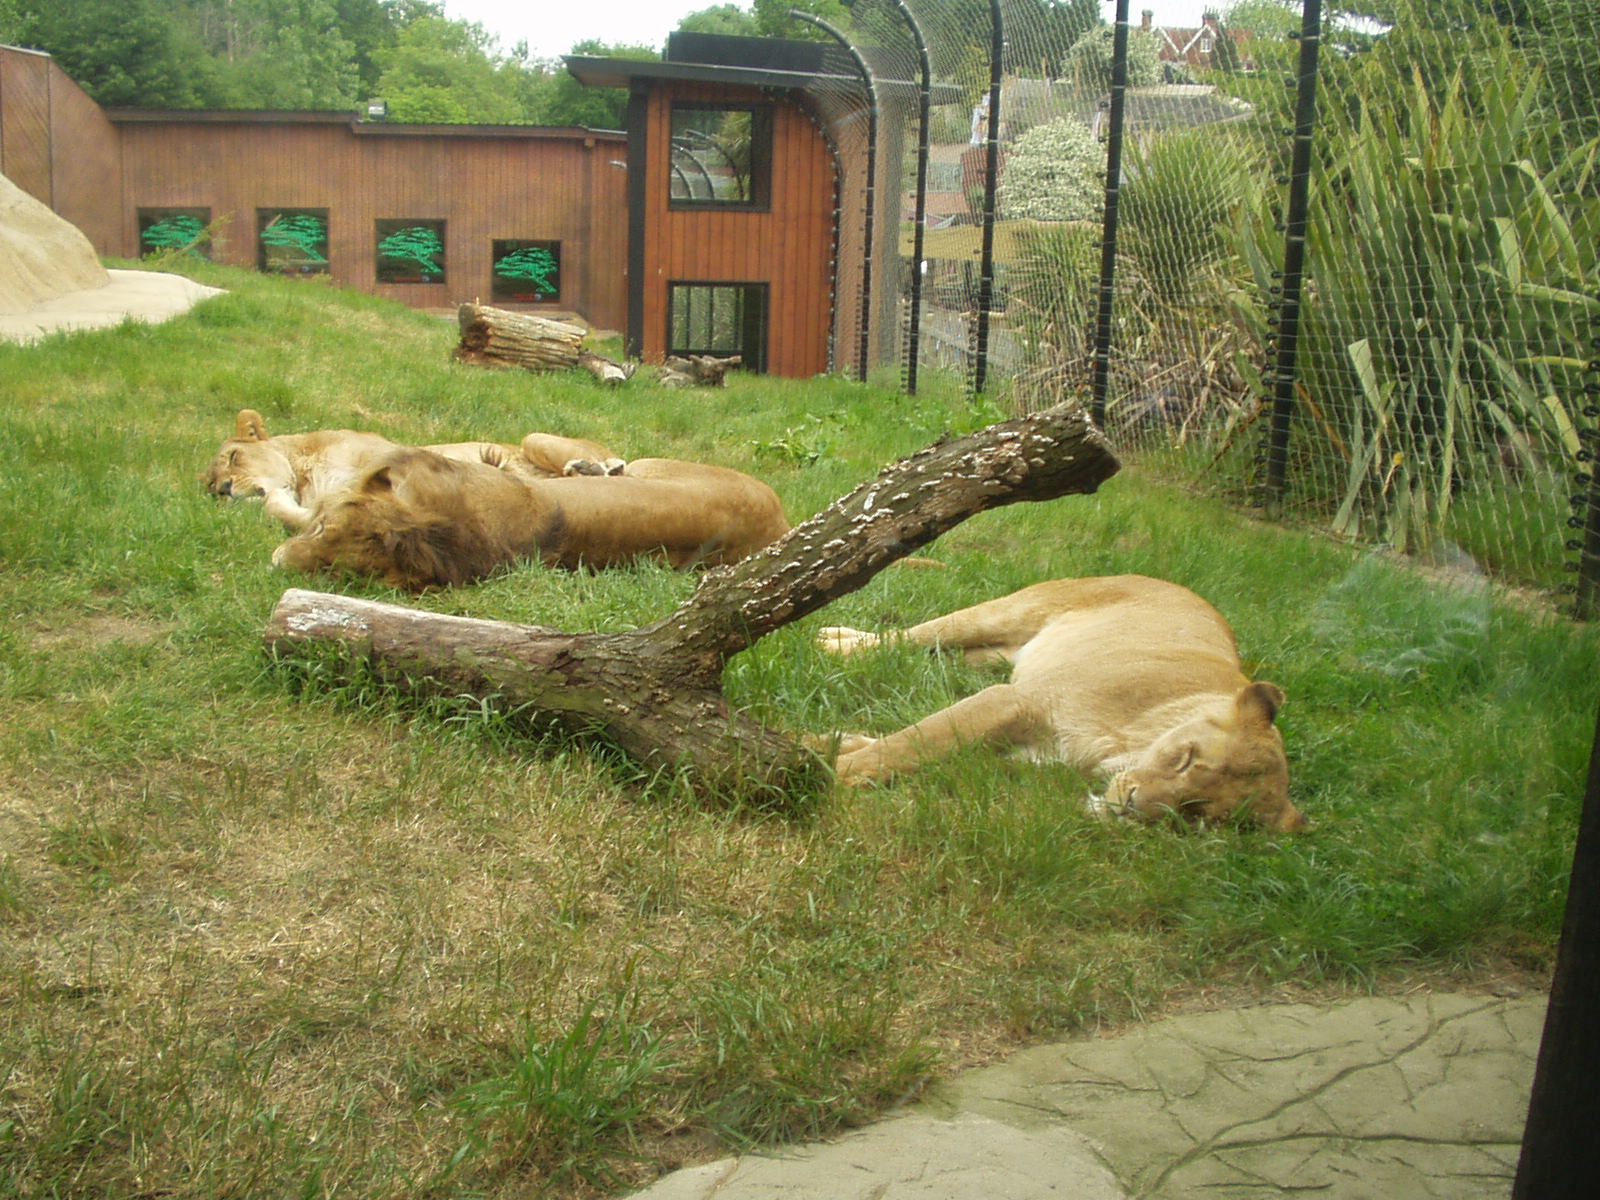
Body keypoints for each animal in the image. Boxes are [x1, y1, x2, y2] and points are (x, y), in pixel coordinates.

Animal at [202, 408, 622, 530]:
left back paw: (592, 468)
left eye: (233, 457)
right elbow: (283, 508)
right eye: (209, 488)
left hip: (534, 436)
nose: (223, 489)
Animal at [817, 574, 1305, 832]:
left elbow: (909, 745)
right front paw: (818, 771)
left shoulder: (1021, 754)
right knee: (906, 638)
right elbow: (903, 745)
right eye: (1186, 758)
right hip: (1009, 612)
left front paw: (826, 743)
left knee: (925, 653)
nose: (1130, 806)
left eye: (1196, 814)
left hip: (994, 655)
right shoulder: (1015, 699)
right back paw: (832, 643)